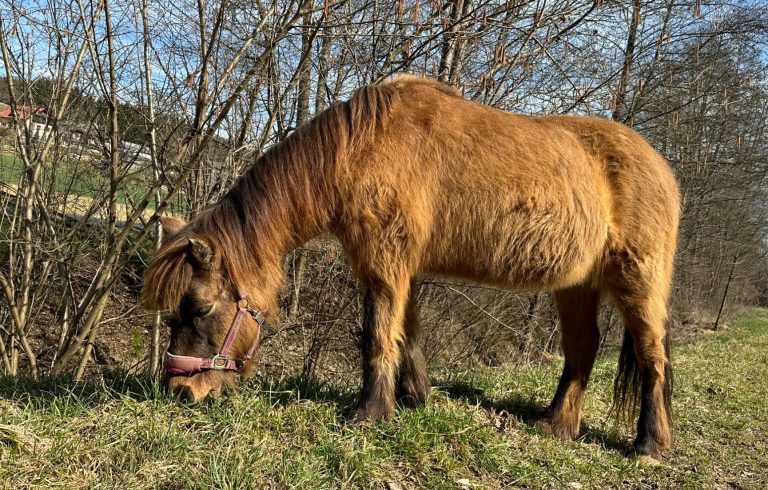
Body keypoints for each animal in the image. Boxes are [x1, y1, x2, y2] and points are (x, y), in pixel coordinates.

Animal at [142, 75, 680, 464]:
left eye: (199, 308)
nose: (181, 391)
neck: (359, 147)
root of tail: (662, 168)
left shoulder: (384, 264)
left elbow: (378, 334)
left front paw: (369, 413)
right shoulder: (403, 267)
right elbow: (409, 332)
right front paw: (413, 397)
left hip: (637, 281)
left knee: (652, 356)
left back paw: (649, 445)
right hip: (576, 285)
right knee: (582, 349)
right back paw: (556, 426)